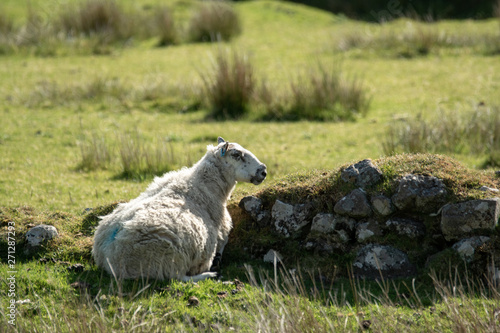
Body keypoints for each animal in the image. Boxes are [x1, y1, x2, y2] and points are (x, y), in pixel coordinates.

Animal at [92, 137, 268, 280]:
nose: (263, 171)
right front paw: (215, 263)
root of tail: (109, 255)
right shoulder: (221, 233)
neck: (206, 185)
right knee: (178, 278)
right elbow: (221, 246)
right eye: (236, 155)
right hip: (166, 259)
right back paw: (208, 274)